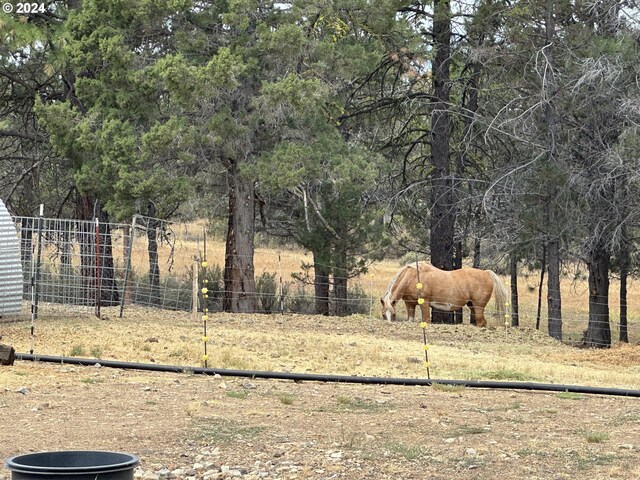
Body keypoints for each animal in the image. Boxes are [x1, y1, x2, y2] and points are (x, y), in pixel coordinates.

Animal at [380, 262, 510, 326]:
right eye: (383, 315)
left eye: (393, 314)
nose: (389, 323)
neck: (413, 276)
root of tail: (486, 273)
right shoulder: (410, 303)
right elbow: (410, 319)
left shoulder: (424, 303)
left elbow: (426, 320)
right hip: (472, 306)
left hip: (478, 307)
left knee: (482, 322)